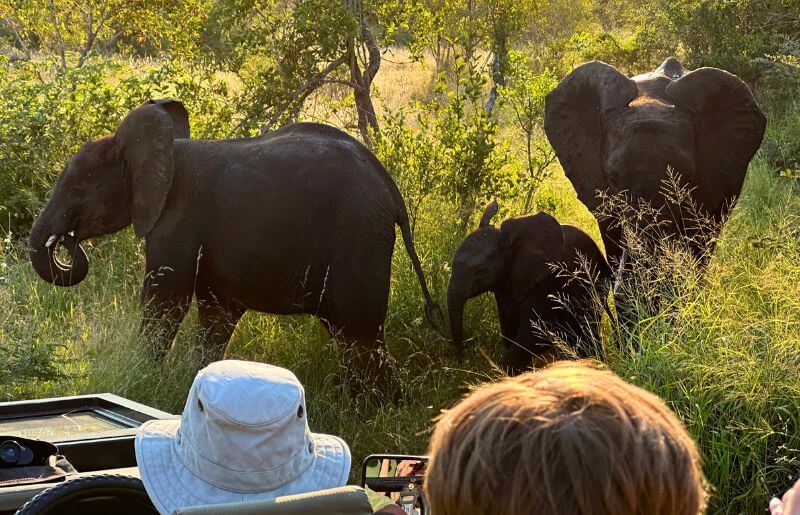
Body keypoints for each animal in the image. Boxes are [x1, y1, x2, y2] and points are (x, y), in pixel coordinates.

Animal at [29, 99, 441, 385]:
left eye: (78, 190)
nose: (66, 241)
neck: (159, 148)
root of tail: (392, 191)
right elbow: (217, 312)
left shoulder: (178, 217)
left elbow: (165, 300)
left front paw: (142, 382)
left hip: (358, 239)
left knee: (359, 336)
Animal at [447, 201, 612, 374]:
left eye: (481, 271)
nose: (461, 360)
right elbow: (509, 327)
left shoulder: (545, 280)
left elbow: (534, 334)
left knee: (586, 328)